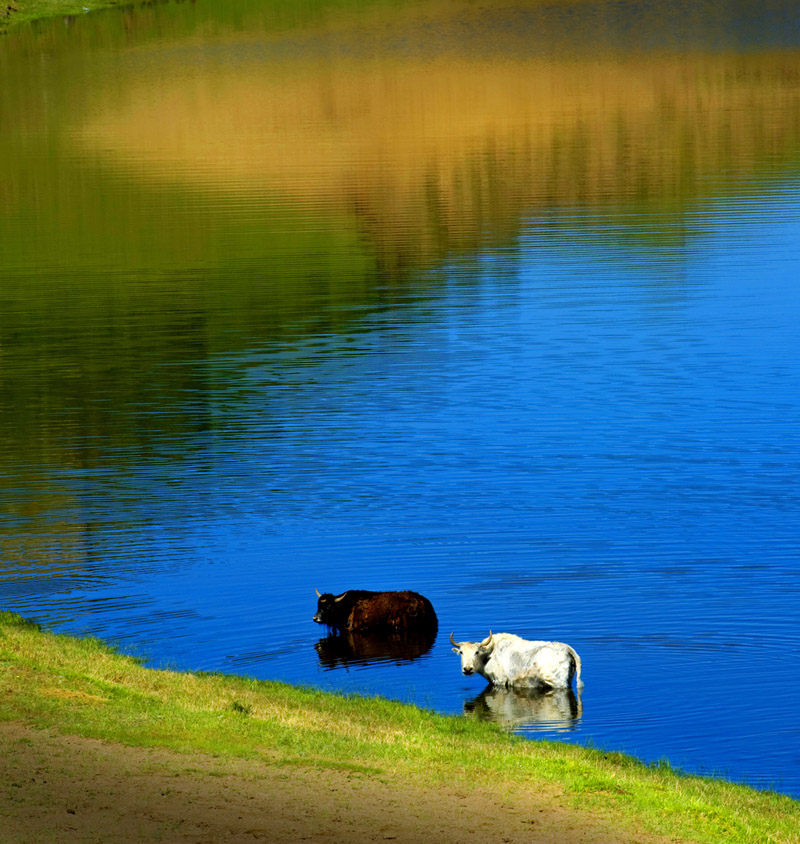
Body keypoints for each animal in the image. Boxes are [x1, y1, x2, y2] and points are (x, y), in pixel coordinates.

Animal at [450, 628, 580, 688]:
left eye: (476, 652)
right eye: (461, 652)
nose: (467, 669)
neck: (489, 656)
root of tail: (567, 649)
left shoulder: (500, 681)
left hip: (558, 681)